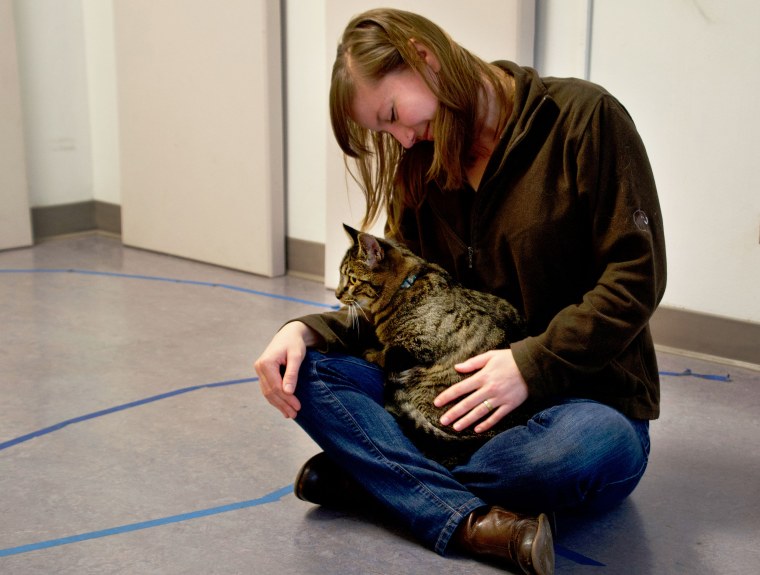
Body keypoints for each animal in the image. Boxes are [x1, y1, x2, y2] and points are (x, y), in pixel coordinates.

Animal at [336, 223, 540, 470]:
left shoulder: (413, 345)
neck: (405, 287)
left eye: (353, 280)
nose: (337, 294)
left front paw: (371, 352)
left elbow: (384, 354)